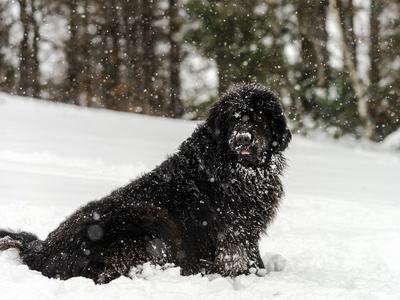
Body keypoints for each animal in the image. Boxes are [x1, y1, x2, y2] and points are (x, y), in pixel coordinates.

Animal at [0, 82, 290, 284]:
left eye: (259, 117)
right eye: (233, 119)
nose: (243, 138)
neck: (239, 170)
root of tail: (42, 251)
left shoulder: (246, 230)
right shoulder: (233, 231)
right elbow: (241, 258)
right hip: (149, 221)